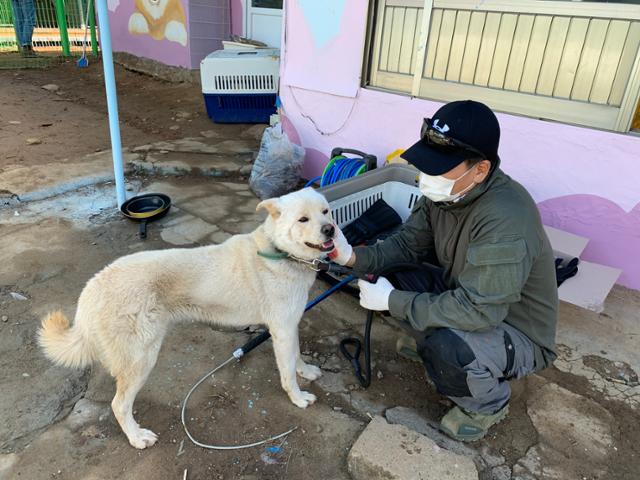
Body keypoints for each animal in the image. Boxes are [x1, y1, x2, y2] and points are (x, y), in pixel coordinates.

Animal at [39, 188, 338, 450]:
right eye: (303, 219)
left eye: (325, 212)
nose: (330, 230)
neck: (279, 251)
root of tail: (92, 287)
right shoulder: (282, 331)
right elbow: (287, 374)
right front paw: (298, 398)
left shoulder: (290, 326)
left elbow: (297, 357)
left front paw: (306, 371)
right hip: (142, 359)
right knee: (119, 405)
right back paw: (137, 437)